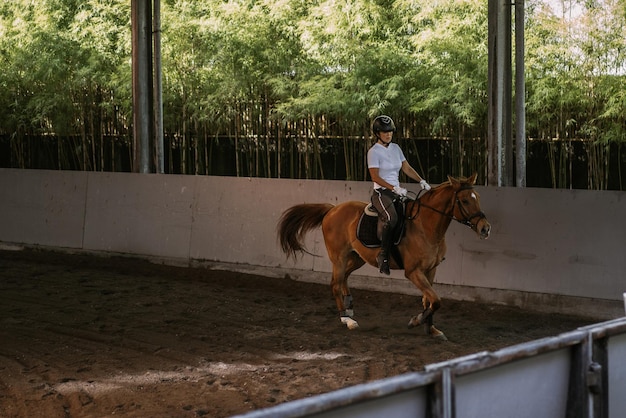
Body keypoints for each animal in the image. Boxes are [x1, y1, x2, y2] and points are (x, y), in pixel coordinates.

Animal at [276, 173, 488, 340]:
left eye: (477, 197)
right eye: (465, 201)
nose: (485, 228)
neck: (425, 226)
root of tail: (332, 209)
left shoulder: (431, 270)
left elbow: (429, 300)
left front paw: (432, 329)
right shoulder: (413, 272)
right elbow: (436, 300)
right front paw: (416, 321)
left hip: (357, 257)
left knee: (344, 277)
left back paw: (349, 306)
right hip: (339, 257)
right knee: (335, 283)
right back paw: (347, 319)